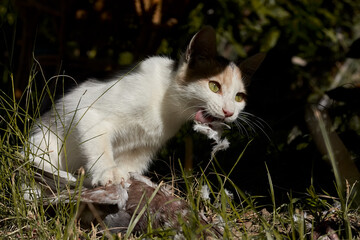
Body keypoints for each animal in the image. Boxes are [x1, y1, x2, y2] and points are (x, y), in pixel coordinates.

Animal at [24, 26, 262, 188]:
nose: (229, 111)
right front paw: (108, 172)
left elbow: (133, 164)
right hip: (42, 141)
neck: (167, 106)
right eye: (214, 86)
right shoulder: (88, 111)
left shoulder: (144, 147)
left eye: (239, 97)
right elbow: (99, 145)